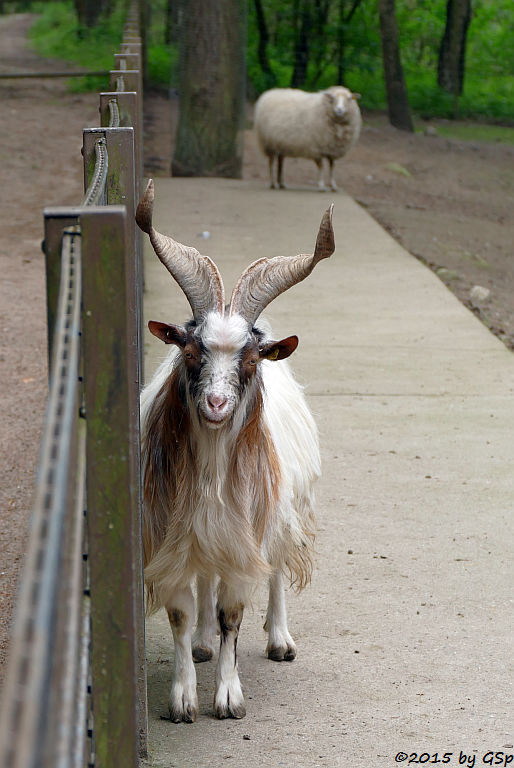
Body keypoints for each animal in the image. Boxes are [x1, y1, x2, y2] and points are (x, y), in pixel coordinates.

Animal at [136, 183, 336, 724]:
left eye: (249, 360)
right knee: (207, 582)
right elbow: (182, 613)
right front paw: (183, 697)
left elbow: (234, 613)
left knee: (277, 570)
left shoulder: (249, 534)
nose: (216, 404)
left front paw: (228, 697)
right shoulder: (172, 537)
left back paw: (279, 640)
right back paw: (204, 642)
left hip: (282, 513)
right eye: (189, 351)